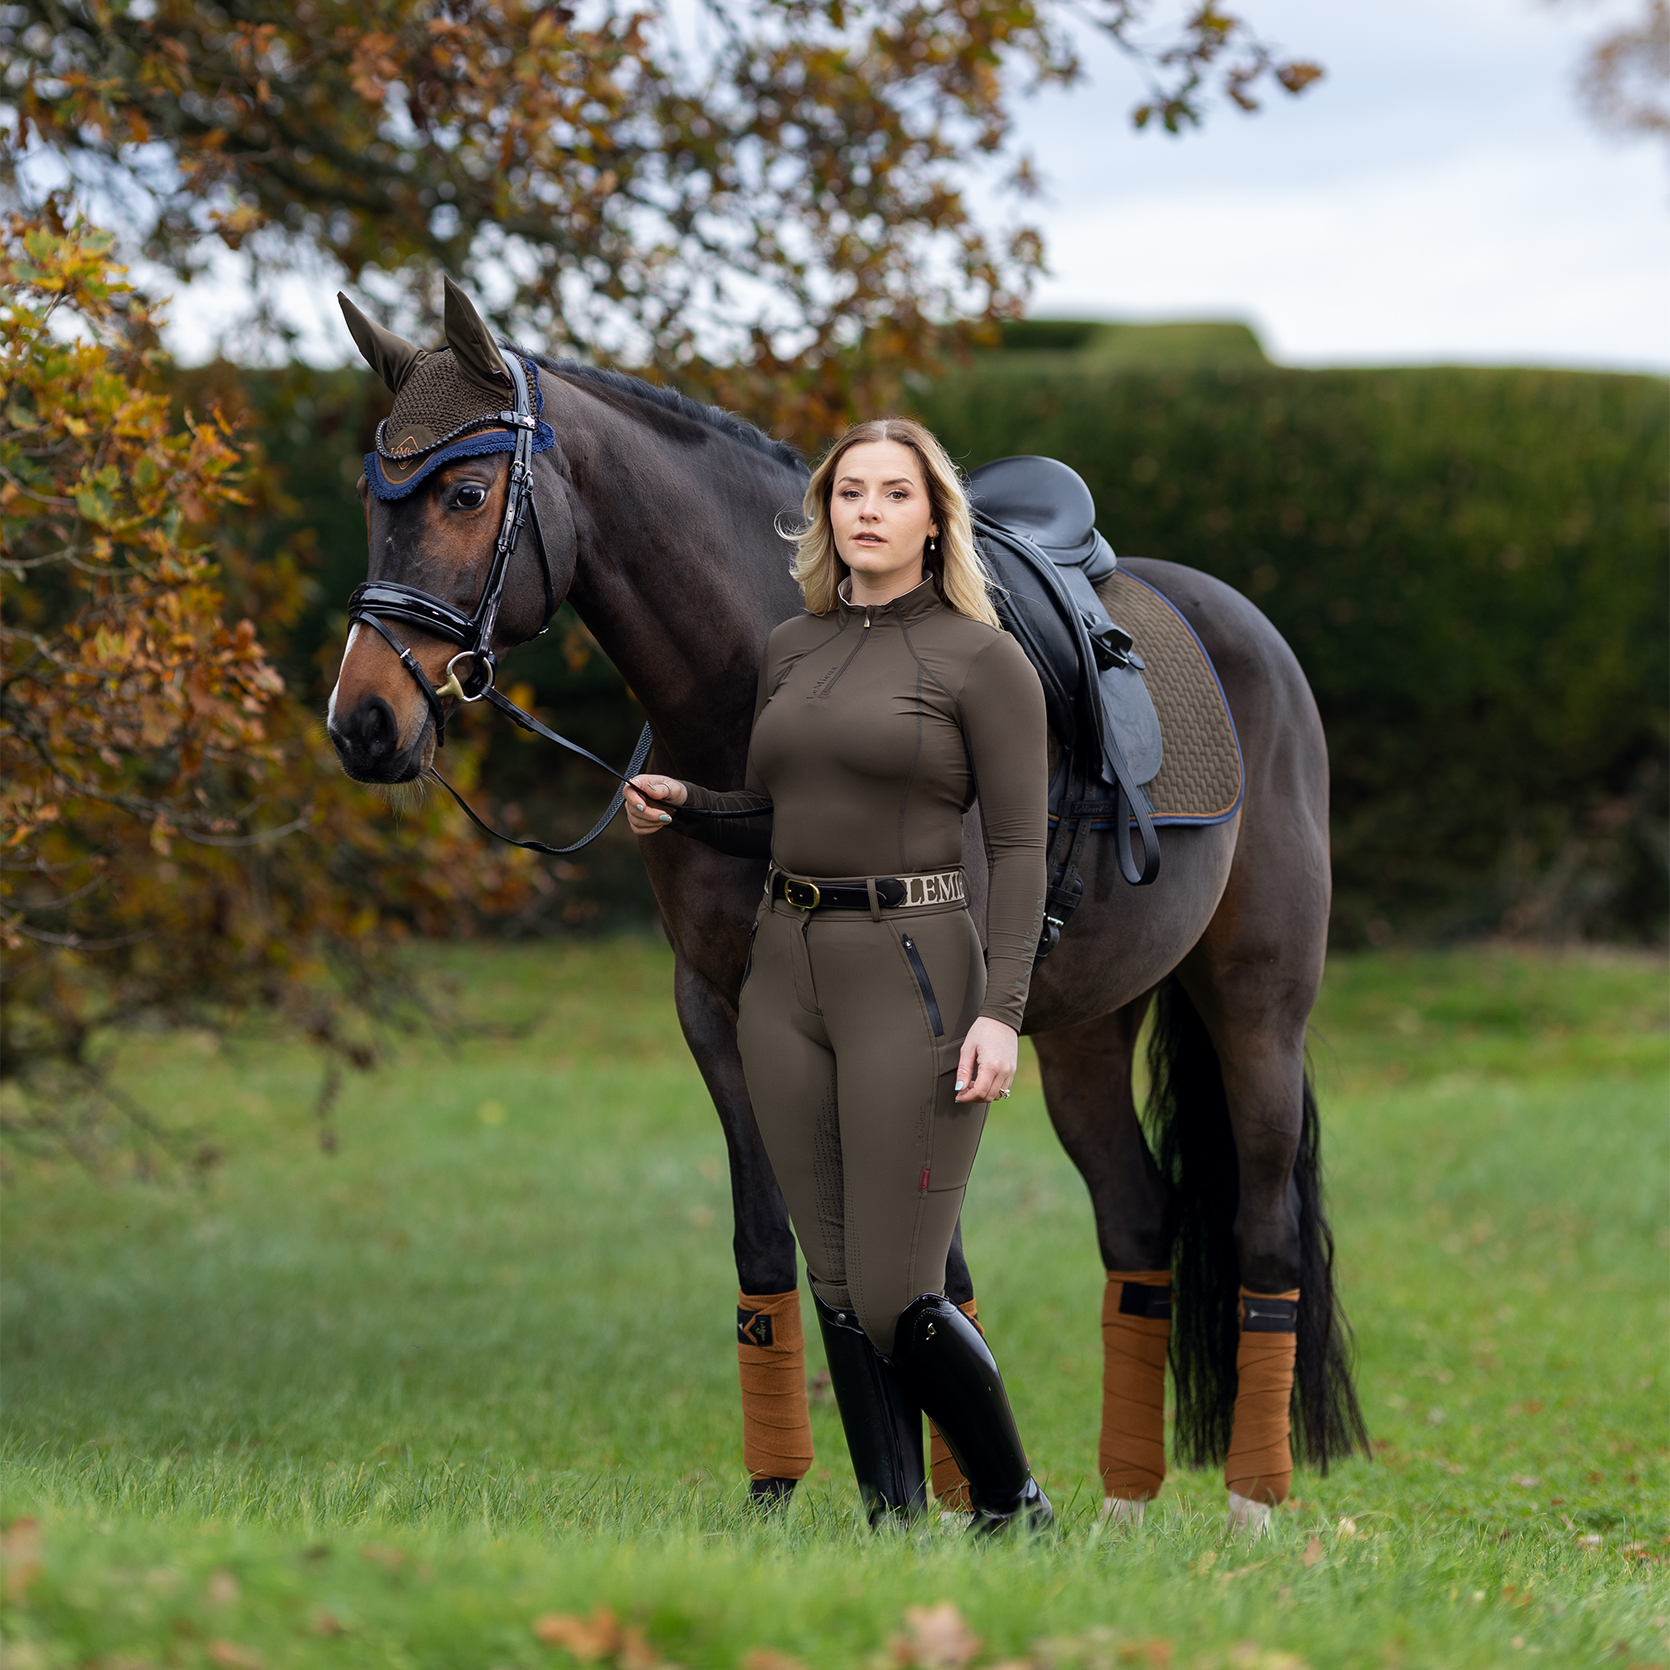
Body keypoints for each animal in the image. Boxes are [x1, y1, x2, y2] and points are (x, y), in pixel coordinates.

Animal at [328, 293, 1369, 1529]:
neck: (752, 702)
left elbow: (921, 1267)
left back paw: (1253, 1509)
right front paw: (795, 1495)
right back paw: (1122, 1513)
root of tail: (1247, 630)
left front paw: (955, 1508)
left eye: (464, 494)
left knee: (1264, 1232)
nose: (362, 723)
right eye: (370, 498)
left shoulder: (929, 1032)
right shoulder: (720, 1015)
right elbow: (773, 1249)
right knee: (1137, 1218)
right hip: (1079, 1032)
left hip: (1255, 1009)